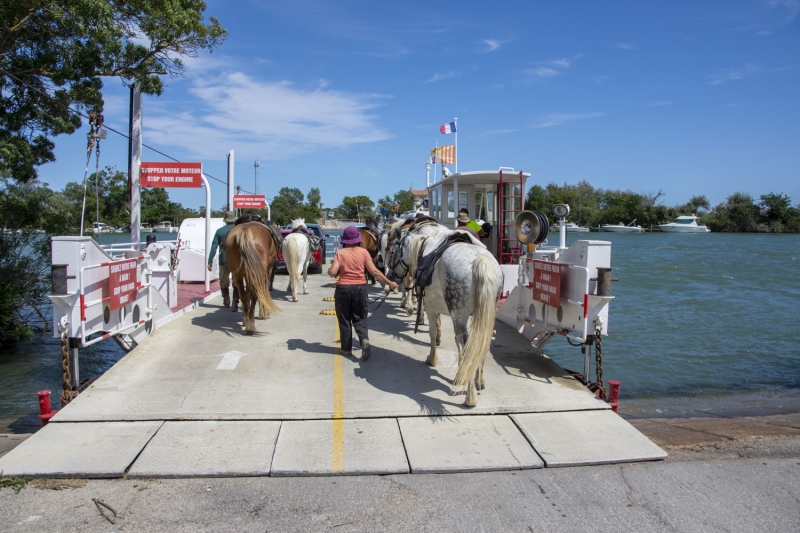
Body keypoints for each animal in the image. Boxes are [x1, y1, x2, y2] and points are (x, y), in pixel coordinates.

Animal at [386, 223, 500, 404]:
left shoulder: (430, 307)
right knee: (481, 343)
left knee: (468, 347)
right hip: (486, 314)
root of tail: (479, 261)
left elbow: (433, 333)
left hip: (459, 315)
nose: (390, 274)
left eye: (394, 251)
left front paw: (432, 358)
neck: (423, 251)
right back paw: (478, 380)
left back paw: (470, 397)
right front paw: (464, 373)